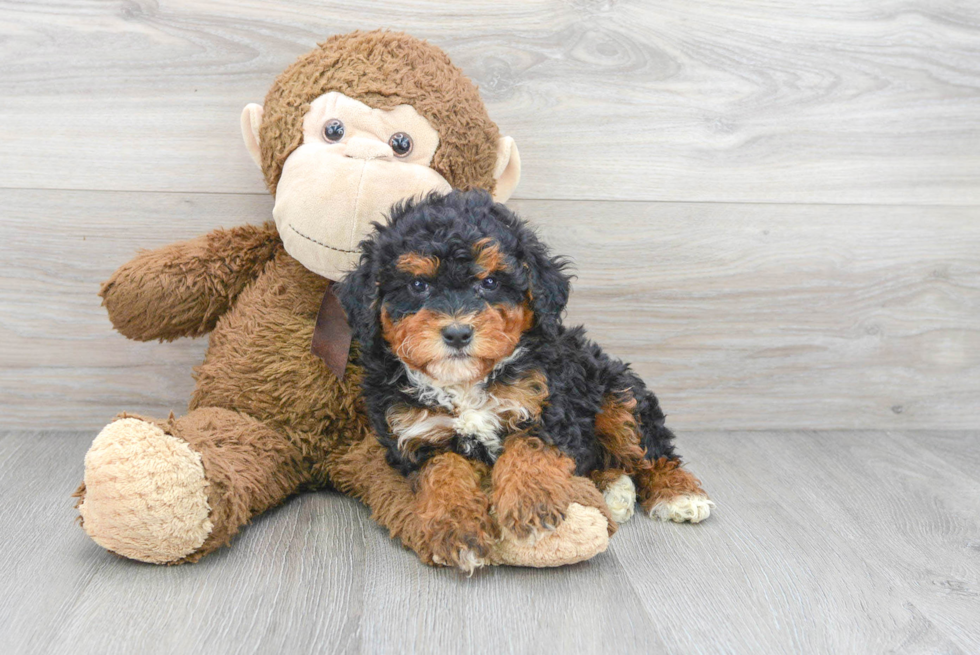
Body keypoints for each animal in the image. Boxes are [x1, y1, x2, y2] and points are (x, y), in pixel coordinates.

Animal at [336, 190, 712, 568]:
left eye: (489, 282)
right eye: (418, 285)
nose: (457, 334)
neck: (464, 383)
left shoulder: (547, 406)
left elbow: (530, 448)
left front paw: (531, 502)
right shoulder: (418, 436)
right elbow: (442, 471)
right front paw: (456, 527)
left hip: (617, 392)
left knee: (649, 450)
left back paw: (679, 494)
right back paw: (613, 489)